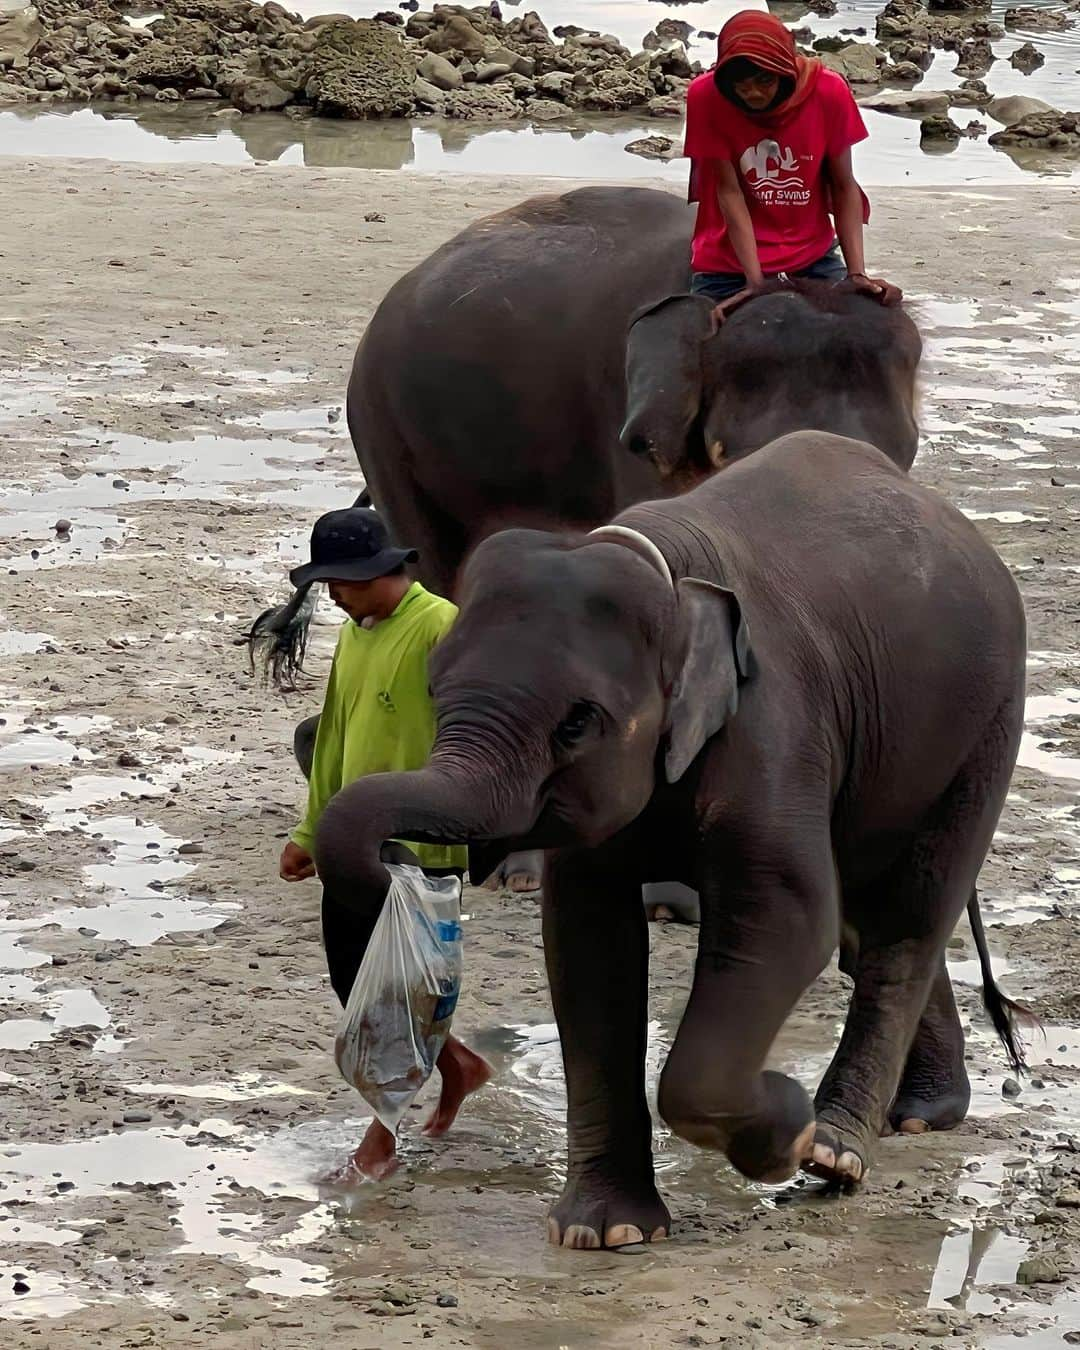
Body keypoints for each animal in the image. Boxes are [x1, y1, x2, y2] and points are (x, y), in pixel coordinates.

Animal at [314, 429, 1031, 1242]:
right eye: (433, 688)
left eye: (577, 722)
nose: (401, 865)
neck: (661, 566)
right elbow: (588, 941)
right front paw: (603, 1233)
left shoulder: (775, 724)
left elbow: (786, 918)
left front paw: (789, 1126)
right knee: (873, 915)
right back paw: (917, 1117)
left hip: (989, 721)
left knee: (908, 918)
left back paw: (838, 1151)